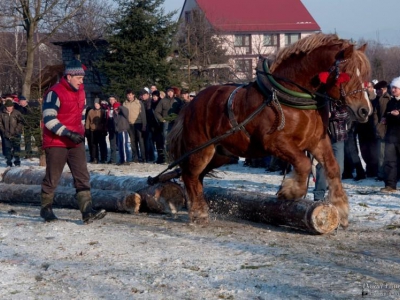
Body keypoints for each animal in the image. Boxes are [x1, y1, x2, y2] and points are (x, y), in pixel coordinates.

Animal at [167, 32, 370, 229]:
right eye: (348, 74)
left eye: (365, 75)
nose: (365, 110)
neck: (294, 96)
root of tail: (191, 103)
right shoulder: (275, 142)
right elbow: (303, 163)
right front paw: (290, 191)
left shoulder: (317, 141)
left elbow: (333, 167)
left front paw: (341, 209)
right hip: (201, 150)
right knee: (189, 175)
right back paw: (198, 213)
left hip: (221, 154)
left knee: (198, 177)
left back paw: (199, 208)